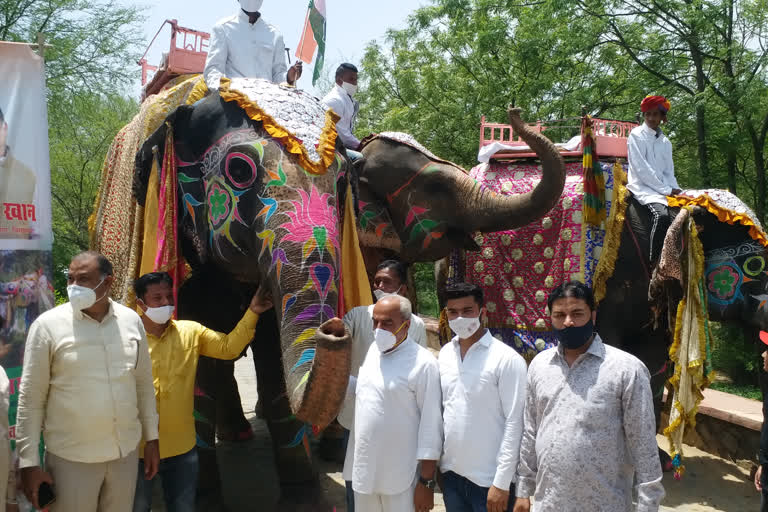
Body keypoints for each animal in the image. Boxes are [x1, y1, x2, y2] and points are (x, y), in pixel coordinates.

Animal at [94, 78, 564, 506]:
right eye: (239, 171)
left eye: (342, 184)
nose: (516, 111)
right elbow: (203, 365)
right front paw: (205, 499)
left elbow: (273, 361)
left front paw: (305, 495)